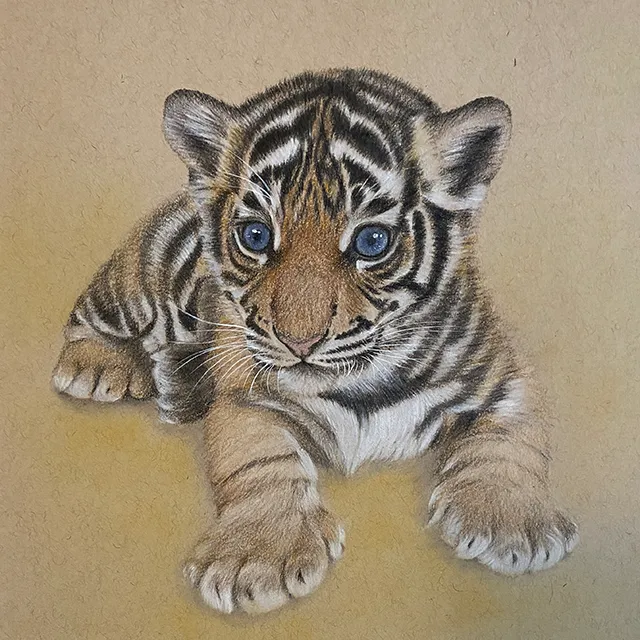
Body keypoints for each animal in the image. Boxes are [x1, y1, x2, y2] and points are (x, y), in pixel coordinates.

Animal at [52, 68, 578, 614]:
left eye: (371, 241)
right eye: (256, 236)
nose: (298, 341)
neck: (364, 386)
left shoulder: (505, 375)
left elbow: (512, 439)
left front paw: (511, 524)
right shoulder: (247, 399)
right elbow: (259, 458)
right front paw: (258, 556)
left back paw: (177, 382)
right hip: (137, 279)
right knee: (89, 314)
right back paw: (99, 366)